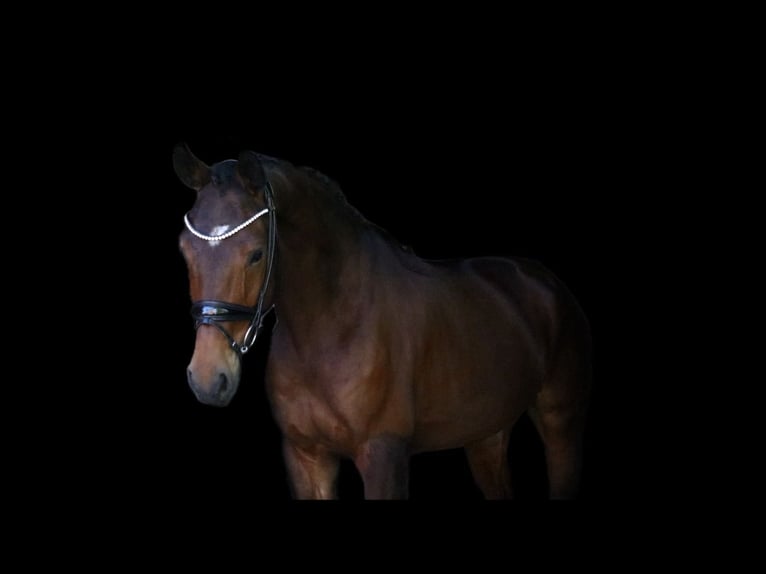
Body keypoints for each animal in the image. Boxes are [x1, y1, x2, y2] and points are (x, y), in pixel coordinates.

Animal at [174, 143, 592, 499]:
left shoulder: (383, 455)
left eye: (256, 254)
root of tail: (544, 281)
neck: (331, 330)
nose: (208, 379)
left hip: (561, 422)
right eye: (184, 250)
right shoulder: (306, 456)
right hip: (487, 434)